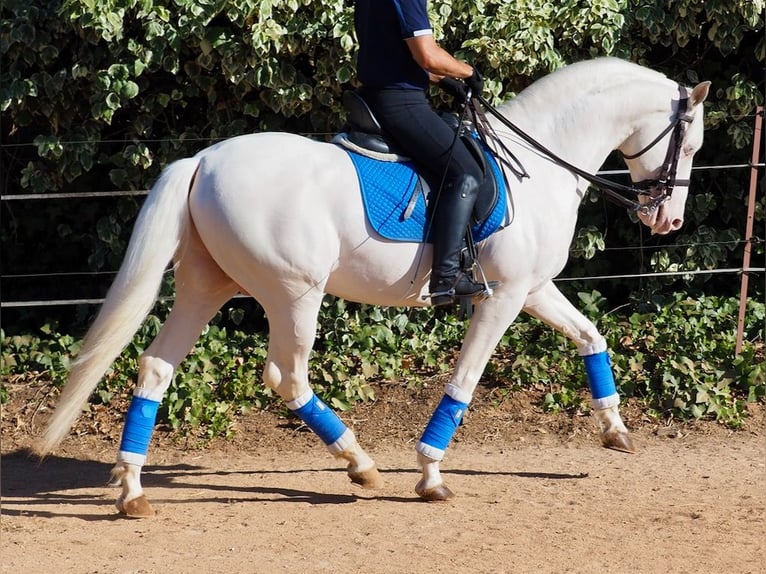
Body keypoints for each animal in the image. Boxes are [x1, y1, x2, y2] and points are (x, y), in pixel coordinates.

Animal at [37, 58, 708, 516]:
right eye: (691, 144)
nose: (668, 221)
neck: (536, 167)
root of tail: (202, 159)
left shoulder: (534, 287)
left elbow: (591, 336)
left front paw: (615, 430)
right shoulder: (505, 296)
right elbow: (465, 381)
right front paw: (431, 474)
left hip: (210, 287)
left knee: (156, 367)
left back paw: (132, 490)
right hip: (294, 293)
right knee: (287, 377)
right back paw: (358, 464)